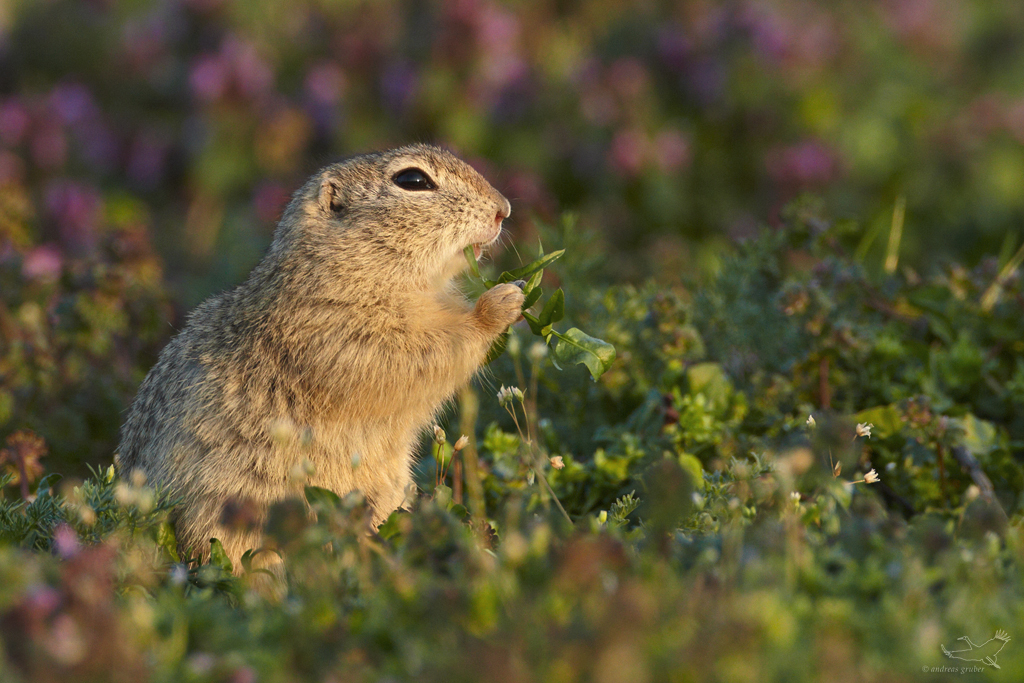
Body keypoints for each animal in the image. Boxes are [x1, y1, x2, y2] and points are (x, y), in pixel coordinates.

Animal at [116, 145, 524, 573]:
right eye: (412, 180)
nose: (504, 209)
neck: (349, 268)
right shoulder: (348, 343)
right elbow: (431, 352)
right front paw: (503, 301)